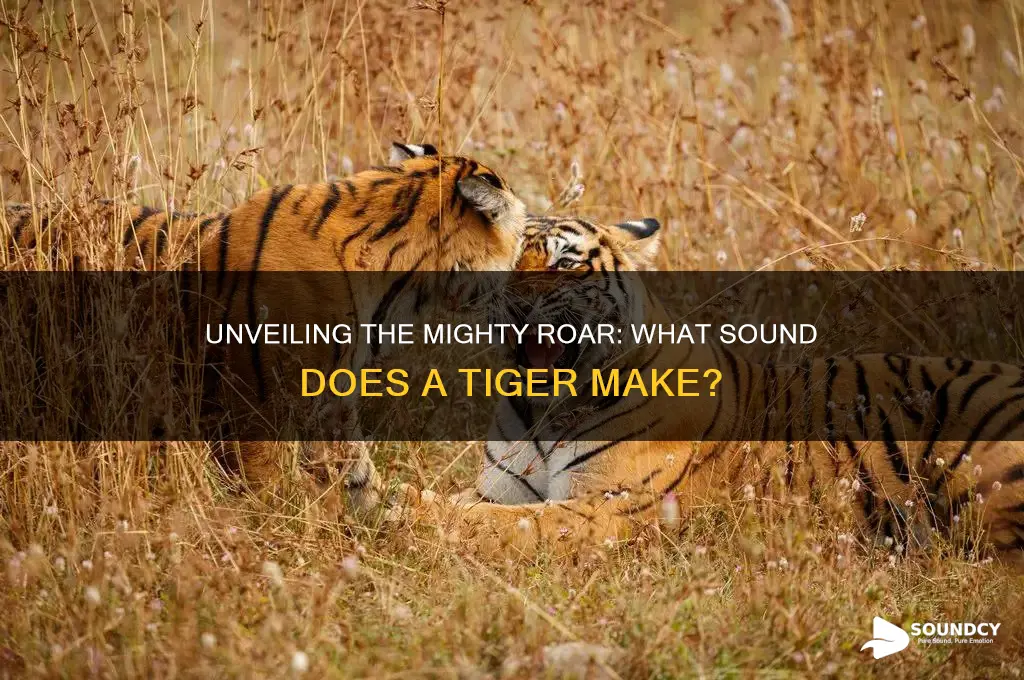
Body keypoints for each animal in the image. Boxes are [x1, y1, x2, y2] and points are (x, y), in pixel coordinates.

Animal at [396, 215, 1024, 566]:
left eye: (565, 263)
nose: (511, 303)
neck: (545, 411)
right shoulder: (501, 488)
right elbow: (475, 507)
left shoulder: (612, 509)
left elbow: (505, 524)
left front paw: (395, 506)